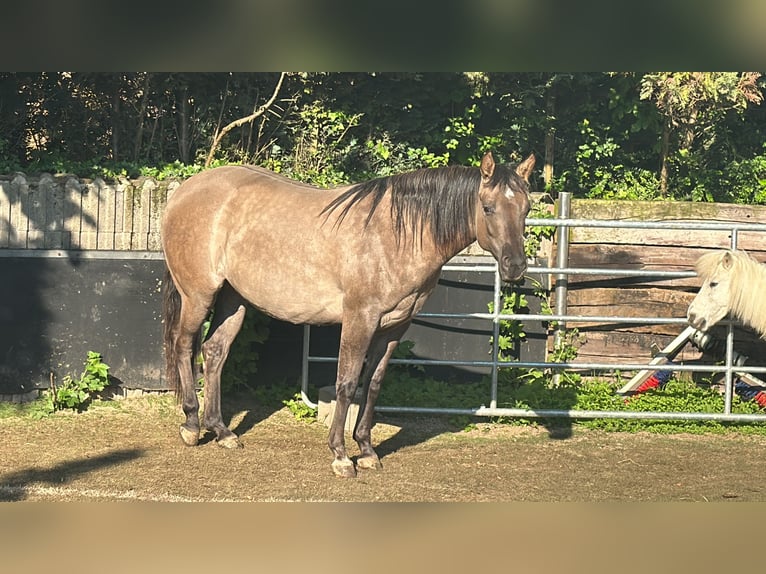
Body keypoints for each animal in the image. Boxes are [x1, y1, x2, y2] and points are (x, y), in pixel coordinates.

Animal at [162, 152, 536, 476]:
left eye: (526, 208)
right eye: (488, 207)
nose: (515, 266)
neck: (397, 235)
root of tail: (184, 191)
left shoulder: (394, 327)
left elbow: (373, 384)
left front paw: (367, 450)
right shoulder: (360, 319)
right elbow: (346, 383)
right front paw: (341, 456)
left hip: (233, 299)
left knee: (214, 352)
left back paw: (221, 430)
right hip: (198, 295)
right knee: (183, 346)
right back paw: (192, 425)